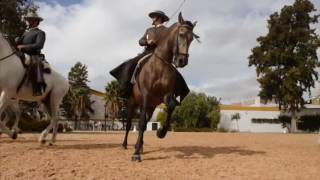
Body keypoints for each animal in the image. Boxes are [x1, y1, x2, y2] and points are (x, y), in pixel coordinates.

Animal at [122, 13, 198, 162]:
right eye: (181, 34)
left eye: (192, 39)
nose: (182, 61)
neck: (160, 65)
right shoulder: (146, 96)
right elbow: (140, 123)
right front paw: (136, 154)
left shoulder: (166, 95)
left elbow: (171, 107)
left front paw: (161, 132)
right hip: (133, 102)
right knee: (129, 124)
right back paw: (126, 145)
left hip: (151, 107)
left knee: (145, 122)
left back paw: (140, 146)